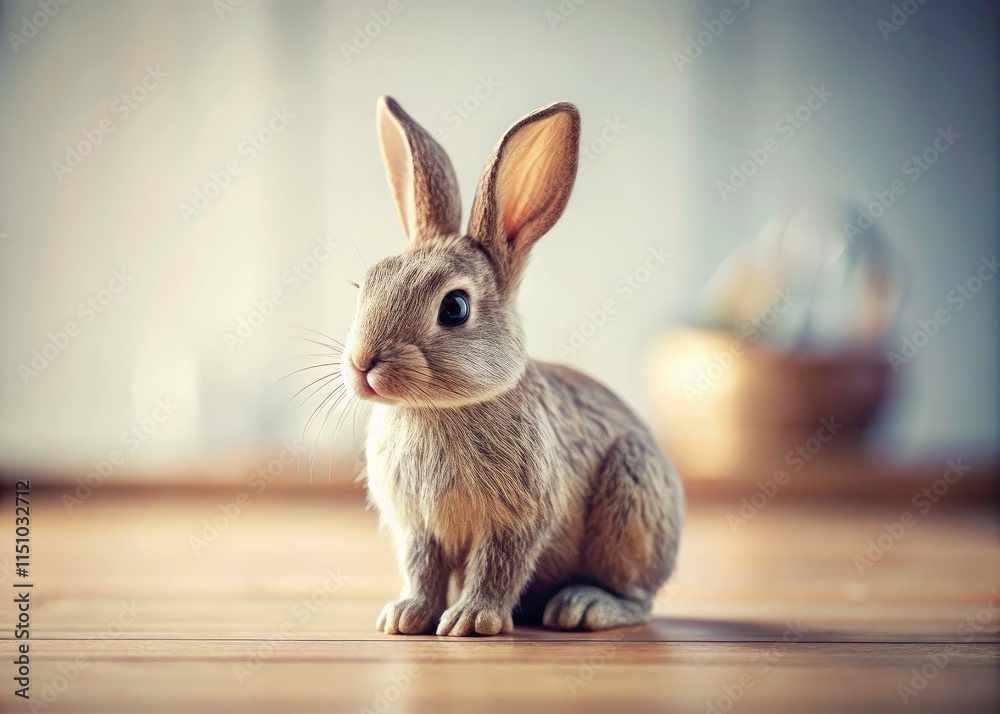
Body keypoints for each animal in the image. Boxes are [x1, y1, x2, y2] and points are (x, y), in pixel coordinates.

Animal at [341, 95, 684, 636]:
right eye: (366, 284)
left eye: (455, 307)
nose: (361, 364)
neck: (437, 409)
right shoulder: (418, 526)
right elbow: (422, 568)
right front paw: (405, 617)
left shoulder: (517, 519)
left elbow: (497, 564)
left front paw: (470, 621)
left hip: (632, 499)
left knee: (636, 596)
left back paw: (584, 607)